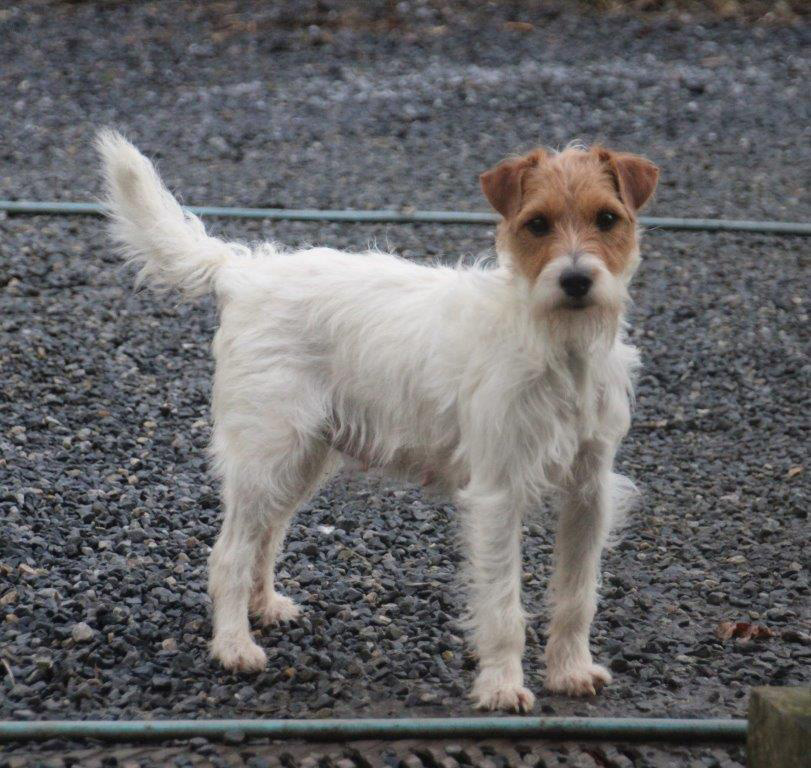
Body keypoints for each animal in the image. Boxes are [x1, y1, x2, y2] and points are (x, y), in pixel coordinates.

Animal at [97, 130, 658, 712]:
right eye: (538, 224)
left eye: (607, 219)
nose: (576, 279)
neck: (556, 344)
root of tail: (244, 271)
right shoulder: (498, 495)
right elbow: (504, 605)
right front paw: (502, 685)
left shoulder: (589, 492)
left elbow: (577, 596)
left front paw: (570, 671)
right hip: (268, 452)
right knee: (229, 553)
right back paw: (233, 646)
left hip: (300, 458)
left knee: (266, 535)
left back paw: (265, 606)